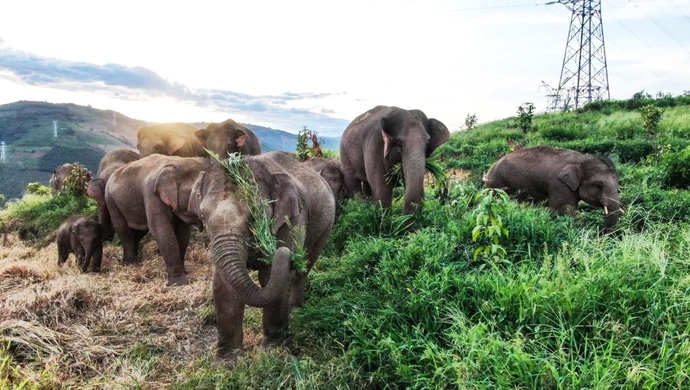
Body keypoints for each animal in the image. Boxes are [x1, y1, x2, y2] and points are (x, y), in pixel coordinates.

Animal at [105, 154, 210, 284]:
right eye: (198, 195)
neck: (179, 163)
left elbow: (183, 233)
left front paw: (184, 273)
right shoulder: (151, 193)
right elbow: (161, 229)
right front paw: (179, 283)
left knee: (140, 230)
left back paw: (136, 260)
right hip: (110, 200)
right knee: (124, 230)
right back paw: (130, 264)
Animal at [188, 149, 336, 360]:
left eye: (254, 217)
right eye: (202, 217)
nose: (287, 254)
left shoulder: (293, 219)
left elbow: (270, 276)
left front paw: (272, 350)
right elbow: (222, 285)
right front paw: (226, 361)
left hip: (326, 226)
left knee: (303, 270)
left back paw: (295, 310)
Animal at [482, 145, 620, 232]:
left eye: (618, 182)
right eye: (599, 186)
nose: (600, 233)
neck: (580, 158)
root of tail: (487, 172)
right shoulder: (559, 185)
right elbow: (564, 211)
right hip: (496, 185)